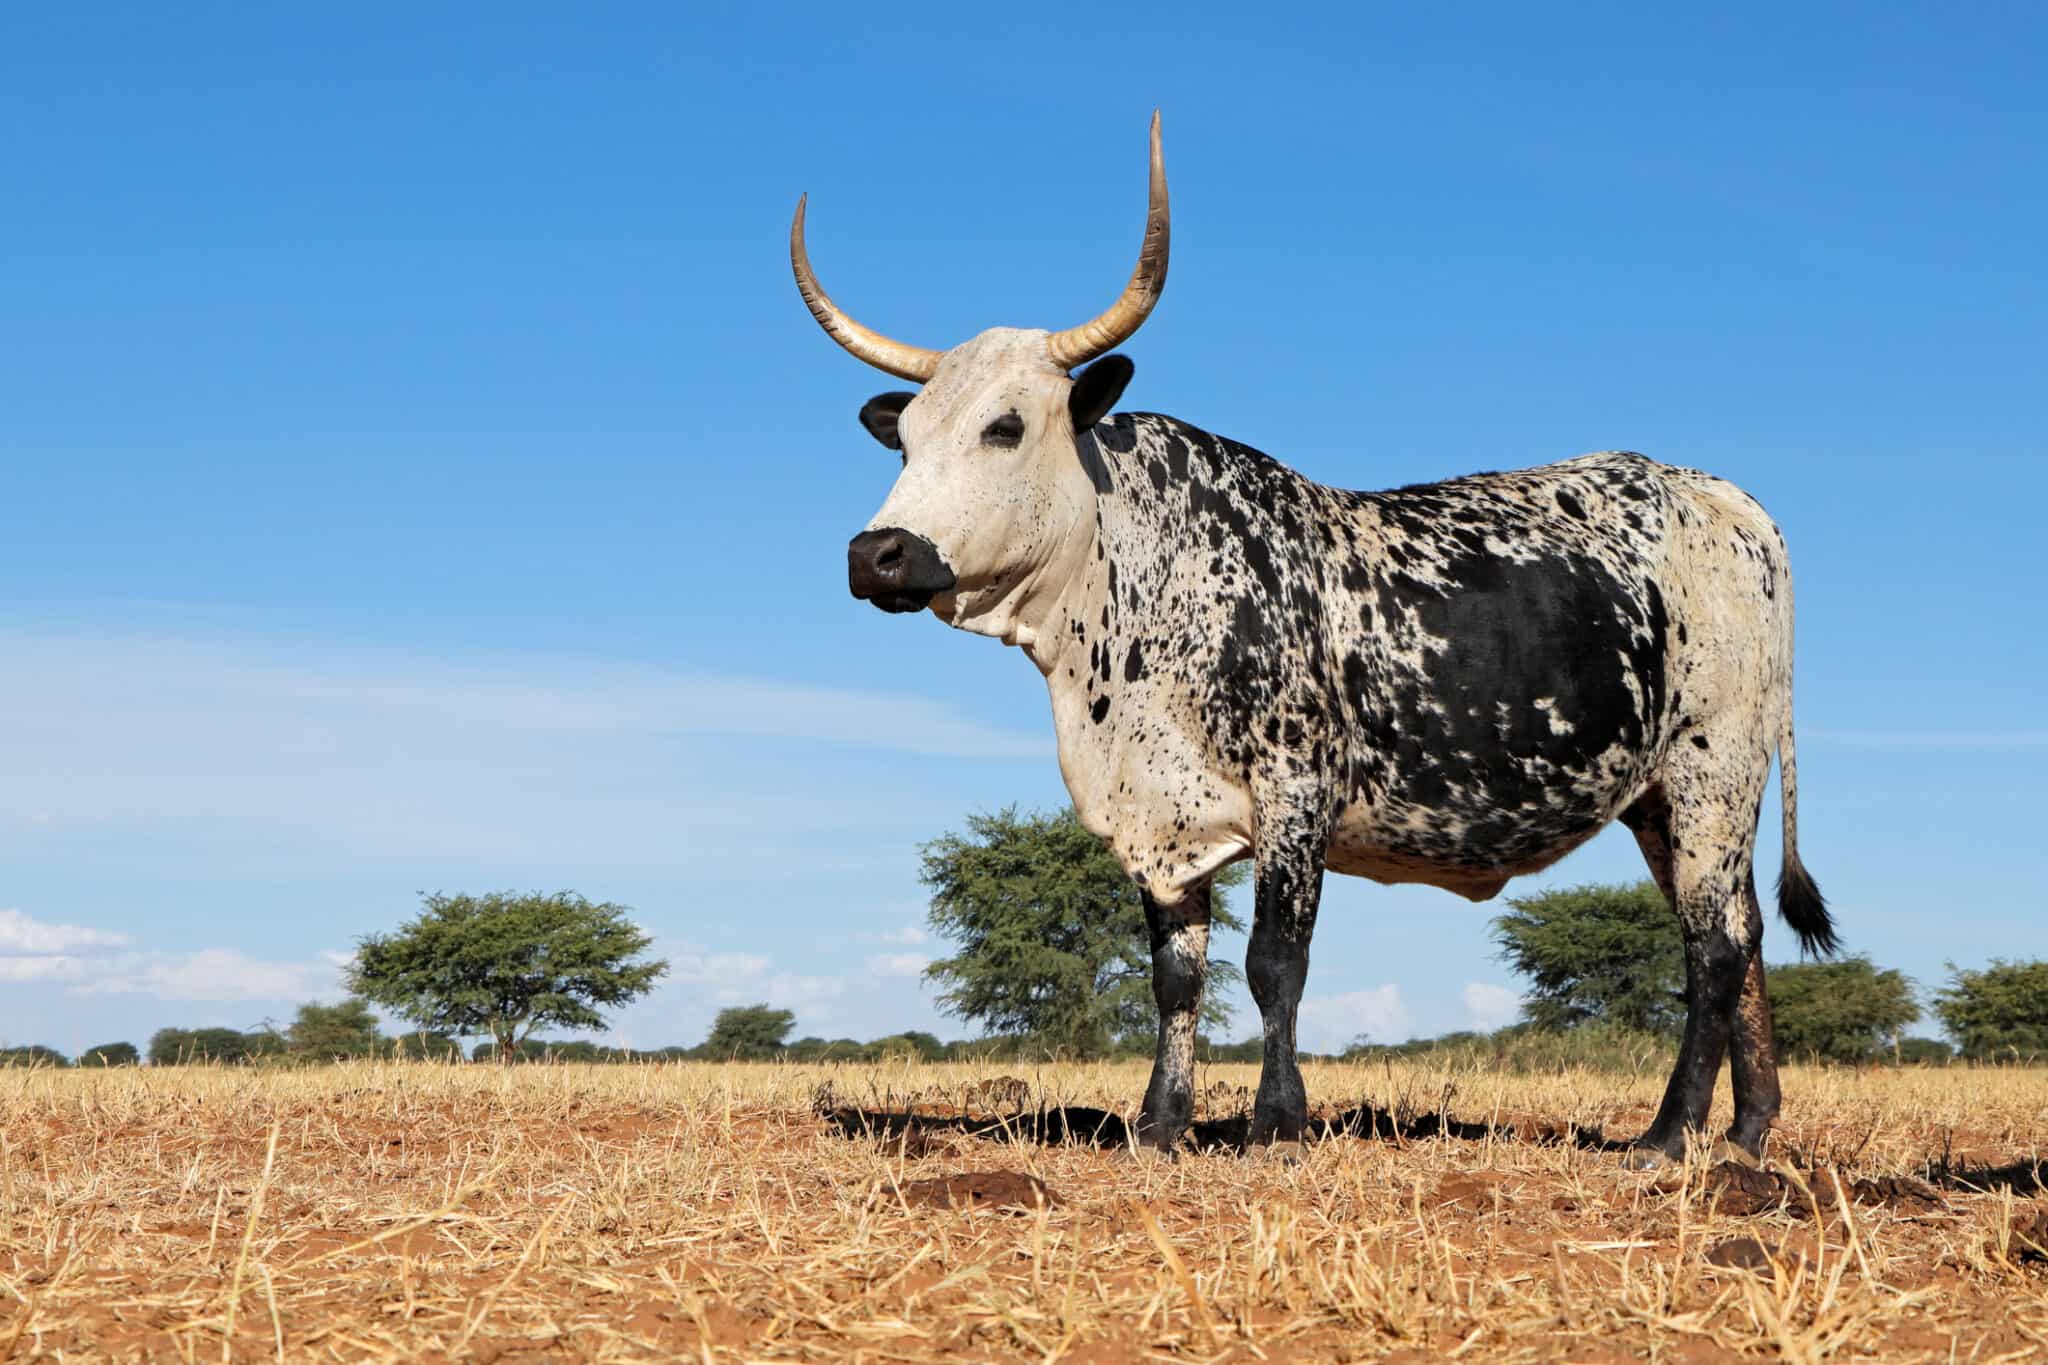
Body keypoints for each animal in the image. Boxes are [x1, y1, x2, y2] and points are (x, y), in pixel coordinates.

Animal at [790, 120, 1835, 1162]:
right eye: (905, 437)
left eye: (1004, 426)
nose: (876, 554)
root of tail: (1719, 495)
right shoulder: (1162, 820)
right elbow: (1178, 979)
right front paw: (1159, 1126)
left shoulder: (1296, 798)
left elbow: (1273, 965)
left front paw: (1277, 1125)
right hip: (1664, 801)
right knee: (1741, 938)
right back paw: (1749, 1129)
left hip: (1711, 772)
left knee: (1714, 948)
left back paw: (1671, 1132)